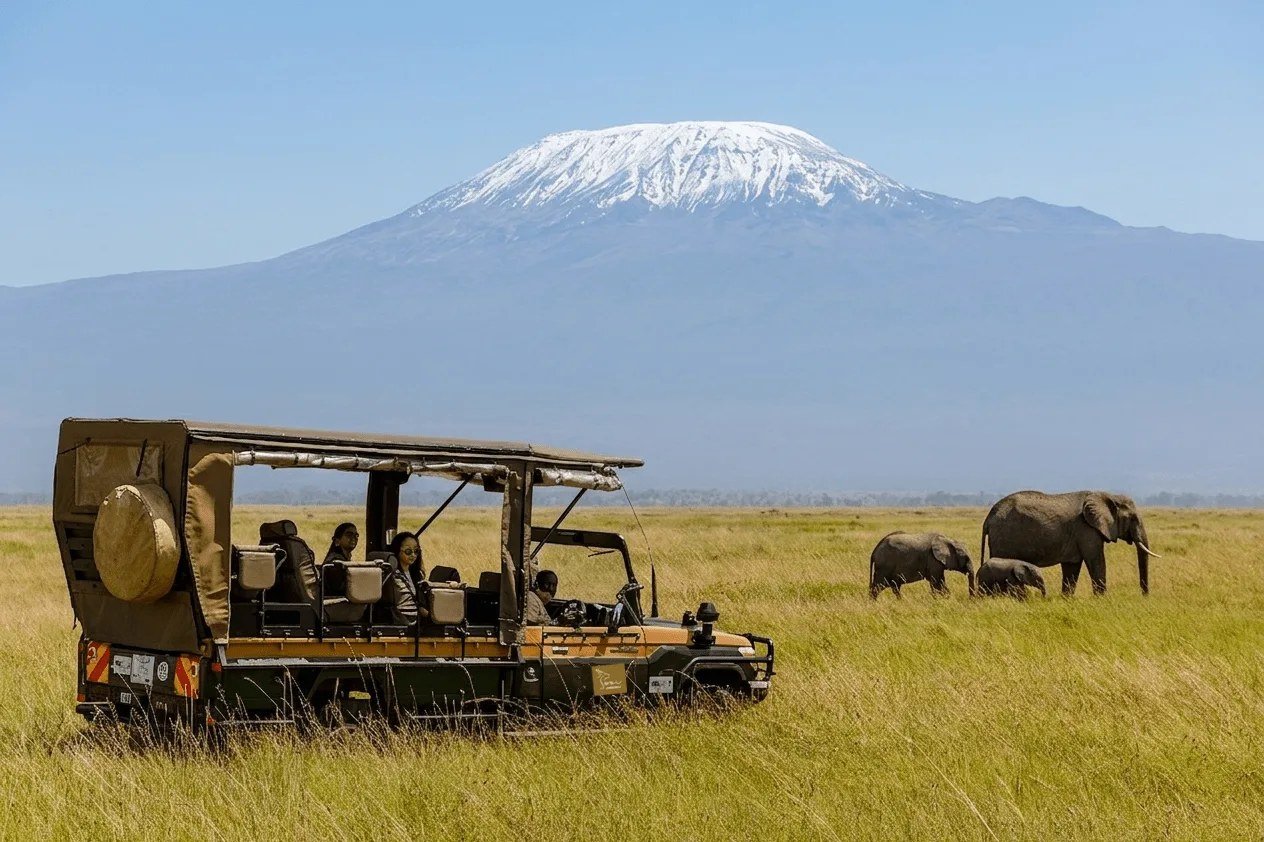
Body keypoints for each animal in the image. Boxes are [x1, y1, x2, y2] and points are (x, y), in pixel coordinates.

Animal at [981, 490, 1160, 596]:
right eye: (1133, 519)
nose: (1144, 596)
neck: (1107, 495)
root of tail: (989, 517)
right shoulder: (1086, 529)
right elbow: (1096, 560)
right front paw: (1102, 600)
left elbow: (1072, 568)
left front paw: (1066, 599)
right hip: (1003, 538)